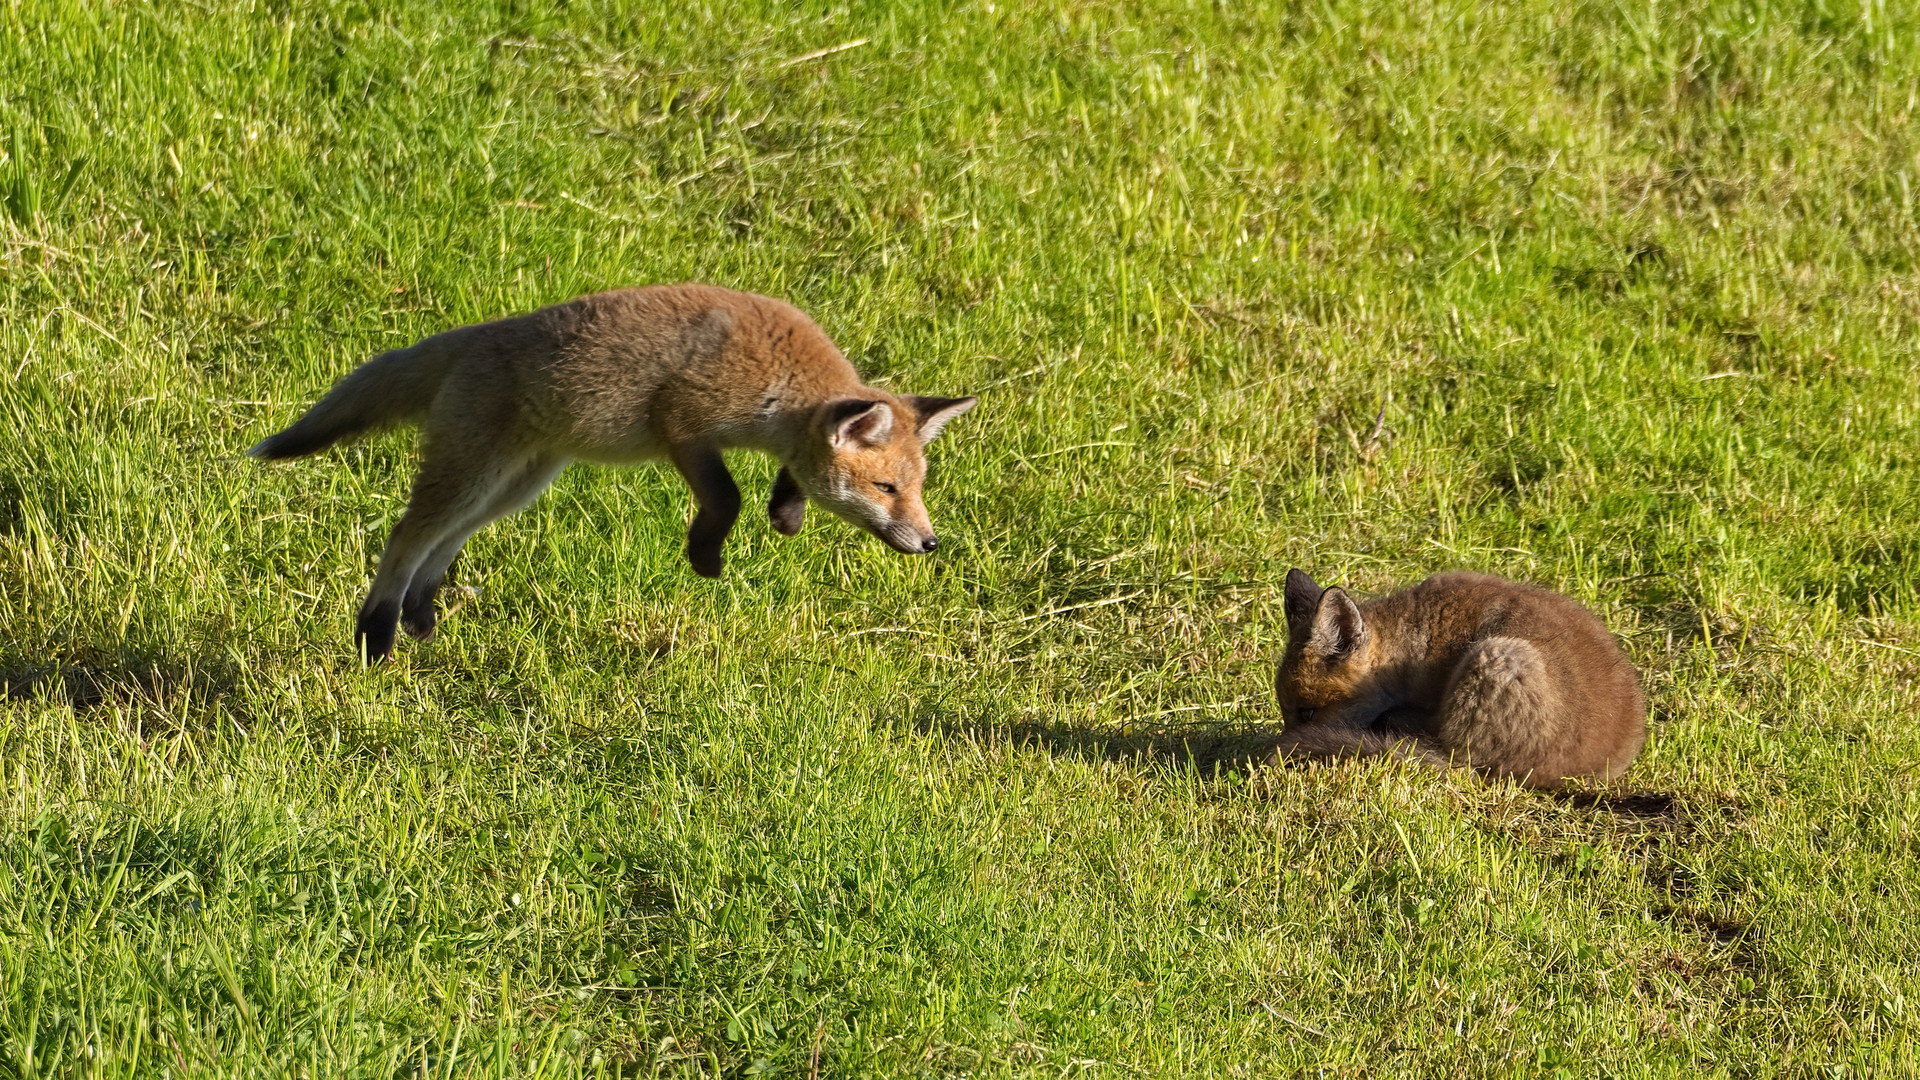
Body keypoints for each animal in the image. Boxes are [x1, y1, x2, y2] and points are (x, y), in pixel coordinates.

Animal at [245, 282, 975, 661]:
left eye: (917, 489)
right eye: (886, 489)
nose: (930, 541)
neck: (782, 384)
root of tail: (477, 334)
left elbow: (788, 475)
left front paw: (787, 514)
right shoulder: (683, 420)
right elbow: (726, 496)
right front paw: (707, 555)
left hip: (515, 486)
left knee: (442, 543)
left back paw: (419, 615)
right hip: (476, 475)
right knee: (405, 536)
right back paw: (376, 633)